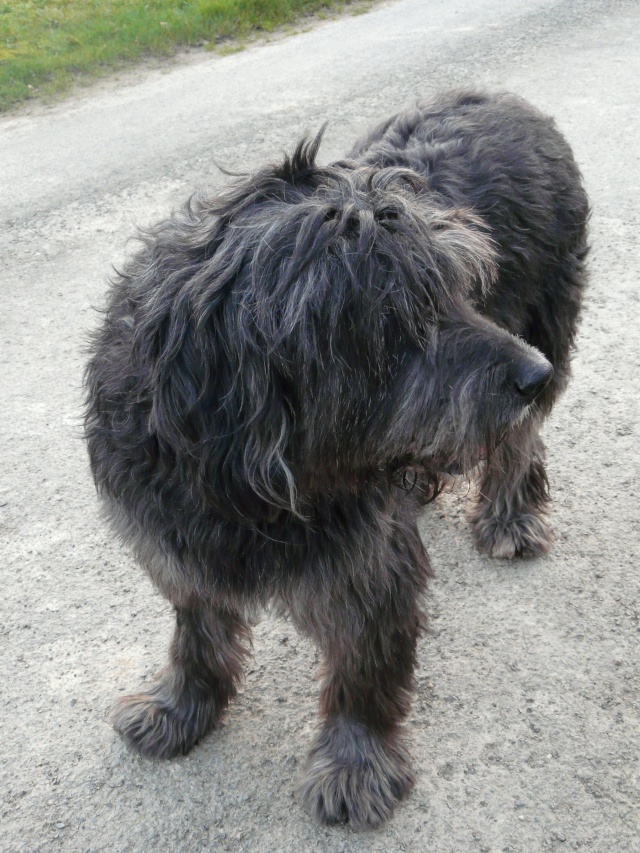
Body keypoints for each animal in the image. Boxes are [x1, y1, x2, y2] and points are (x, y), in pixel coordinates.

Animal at [86, 91, 592, 824]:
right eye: (397, 317)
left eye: (458, 286)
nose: (532, 374)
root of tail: (506, 100)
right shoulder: (174, 541)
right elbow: (198, 631)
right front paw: (180, 705)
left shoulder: (371, 563)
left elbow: (363, 671)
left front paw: (355, 765)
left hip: (546, 315)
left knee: (519, 441)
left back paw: (509, 516)